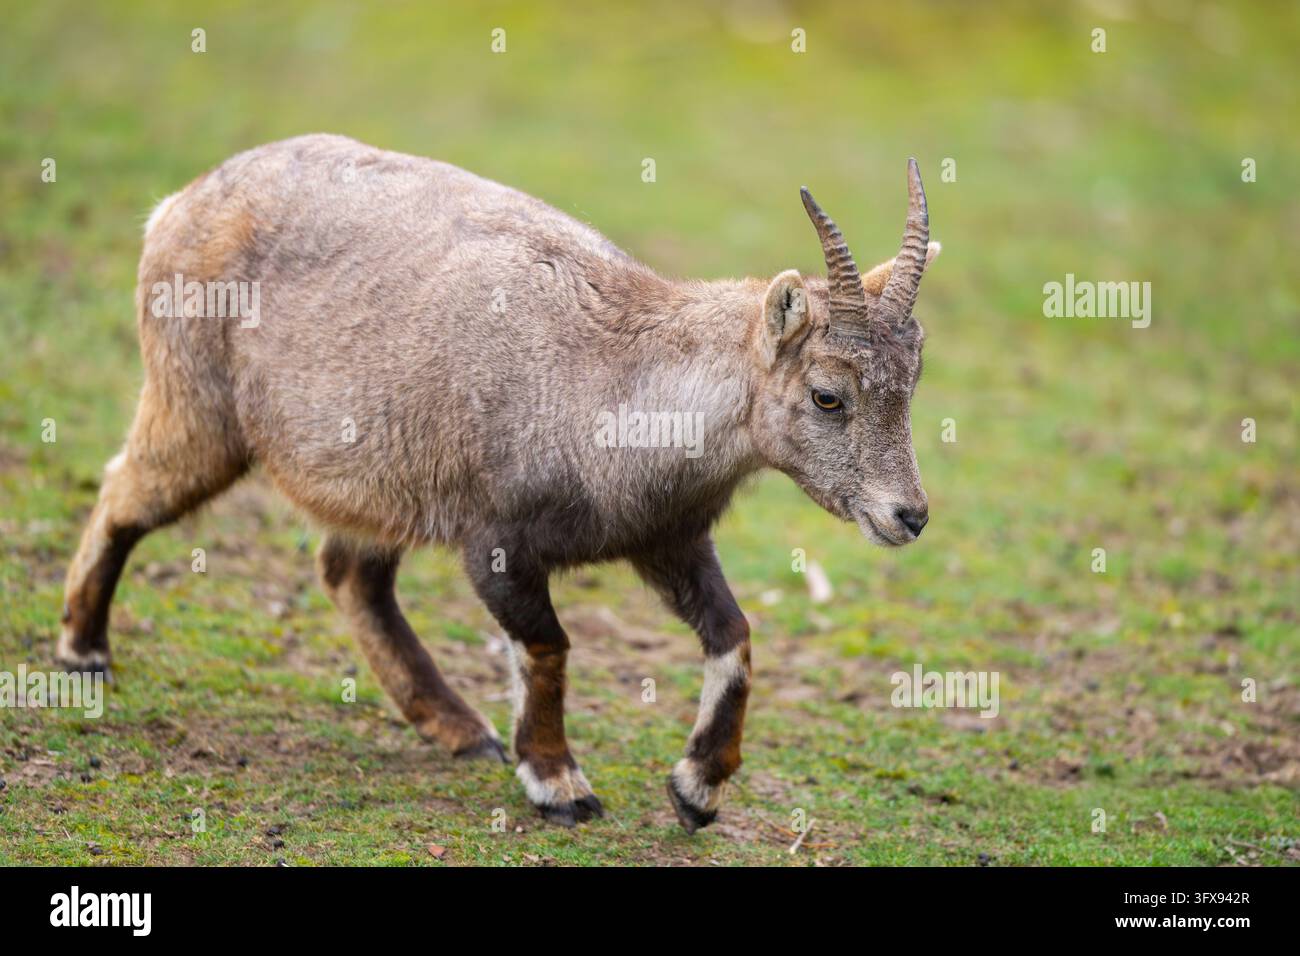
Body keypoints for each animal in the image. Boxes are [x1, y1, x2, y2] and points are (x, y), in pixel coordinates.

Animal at [59, 135, 939, 831]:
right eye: (828, 394)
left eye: (911, 386)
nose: (910, 515)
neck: (617, 385)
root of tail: (179, 205)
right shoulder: (498, 543)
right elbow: (547, 645)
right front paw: (559, 784)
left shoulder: (667, 537)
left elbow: (735, 636)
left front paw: (696, 790)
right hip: (196, 411)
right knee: (123, 494)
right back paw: (82, 650)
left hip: (375, 478)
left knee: (349, 573)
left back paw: (455, 727)